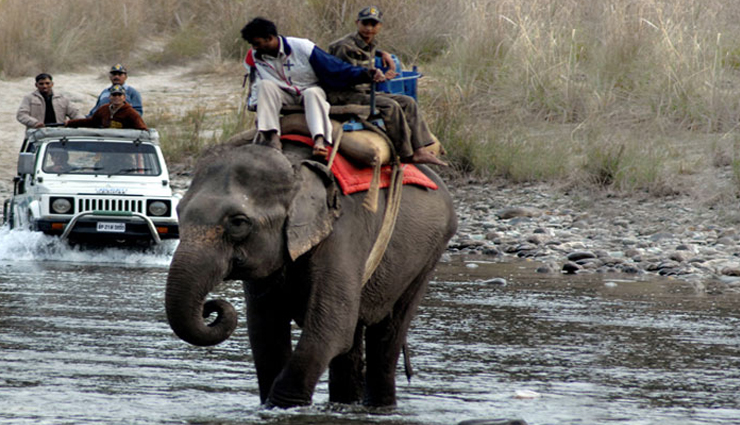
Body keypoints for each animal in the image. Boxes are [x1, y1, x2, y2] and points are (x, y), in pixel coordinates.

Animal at [165, 138, 457, 408]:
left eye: (238, 223)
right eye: (178, 211)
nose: (209, 308)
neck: (297, 168)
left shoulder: (343, 234)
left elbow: (330, 329)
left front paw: (283, 406)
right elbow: (265, 330)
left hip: (428, 255)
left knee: (386, 336)